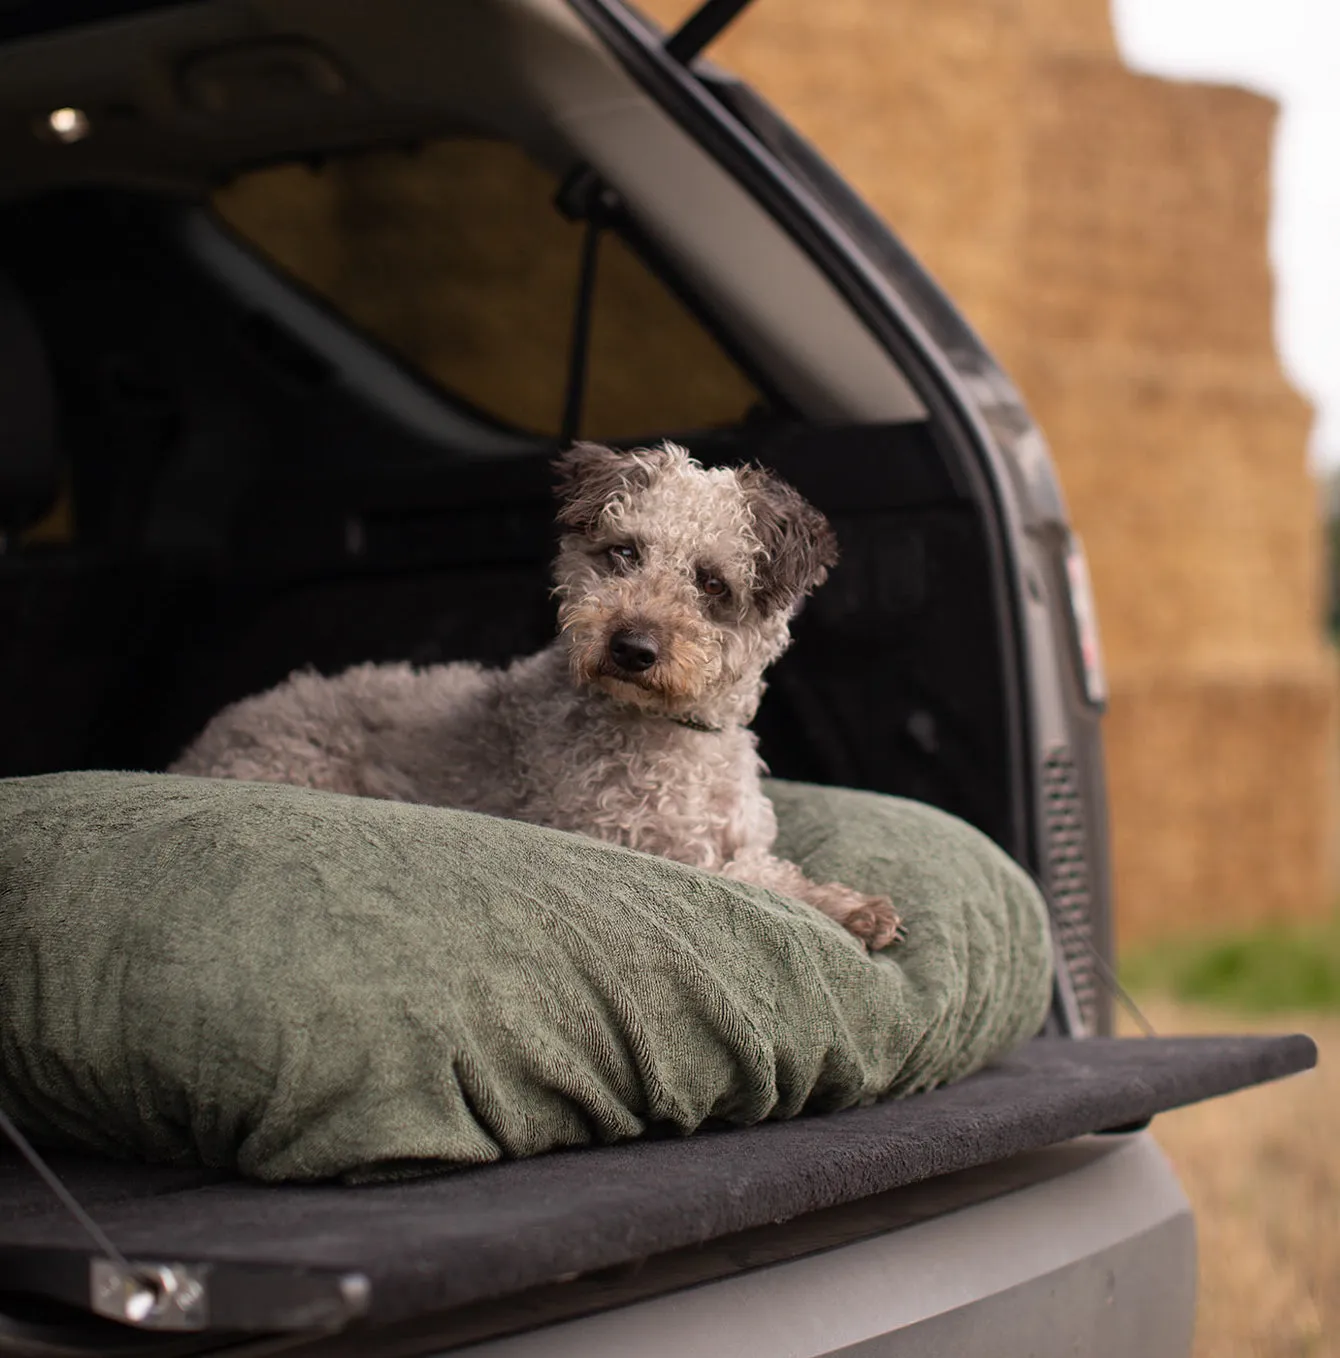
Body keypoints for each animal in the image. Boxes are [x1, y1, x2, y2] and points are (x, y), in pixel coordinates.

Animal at [167, 439, 901, 950]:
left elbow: (770, 865)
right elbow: (755, 879)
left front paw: (845, 903)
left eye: (713, 583)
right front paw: (848, 907)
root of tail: (194, 750)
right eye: (623, 553)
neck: (673, 737)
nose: (631, 648)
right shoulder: (632, 841)